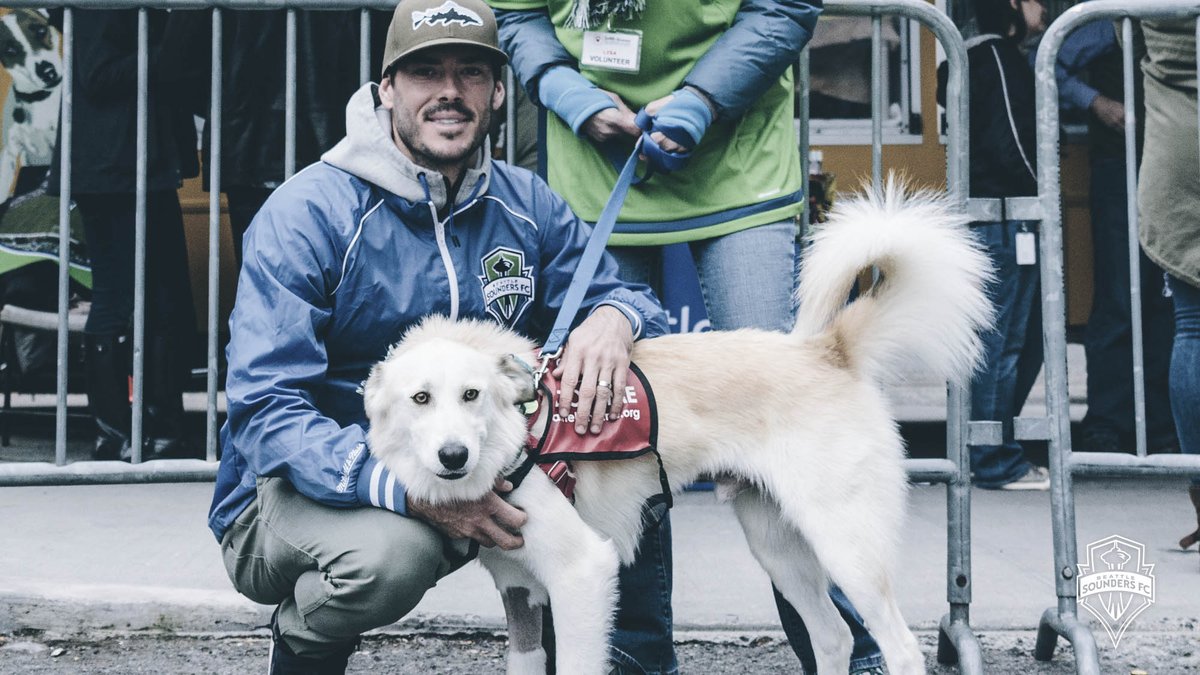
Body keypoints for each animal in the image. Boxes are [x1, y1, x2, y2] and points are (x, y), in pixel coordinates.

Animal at [363, 183, 994, 674]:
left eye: (471, 395)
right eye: (421, 399)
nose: (453, 456)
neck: (521, 430)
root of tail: (827, 350)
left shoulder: (583, 575)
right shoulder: (519, 591)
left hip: (846, 545)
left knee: (899, 647)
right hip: (778, 544)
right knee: (833, 635)